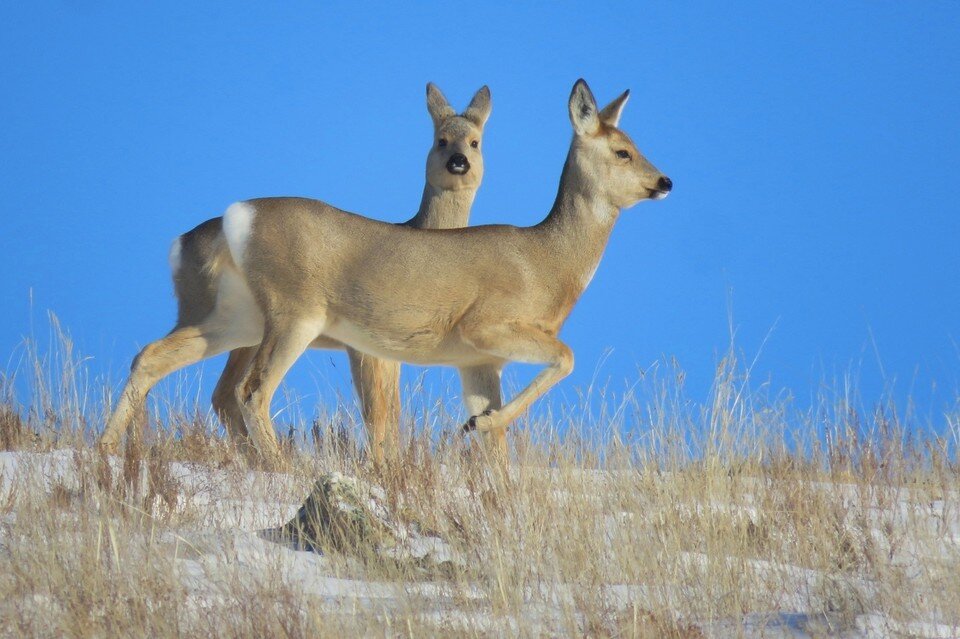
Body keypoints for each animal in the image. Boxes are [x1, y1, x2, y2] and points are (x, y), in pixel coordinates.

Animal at [98, 85, 492, 464]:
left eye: (475, 141)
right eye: (440, 139)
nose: (458, 162)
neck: (424, 230)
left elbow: (387, 411)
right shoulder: (367, 344)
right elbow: (378, 412)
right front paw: (386, 468)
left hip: (229, 318)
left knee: (160, 360)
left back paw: (107, 448)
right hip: (292, 313)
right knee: (247, 390)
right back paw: (283, 465)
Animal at [217, 81, 672, 470]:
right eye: (623, 151)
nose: (665, 181)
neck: (546, 264)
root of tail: (240, 215)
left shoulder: (479, 361)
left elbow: (498, 448)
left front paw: (486, 446)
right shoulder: (483, 324)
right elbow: (567, 356)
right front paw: (476, 423)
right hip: (296, 313)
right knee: (250, 391)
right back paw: (281, 465)